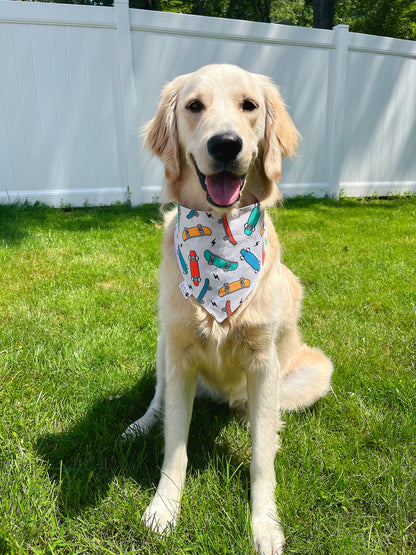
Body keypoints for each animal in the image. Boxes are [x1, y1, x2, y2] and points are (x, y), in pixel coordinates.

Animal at [122, 66, 332, 555]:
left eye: (249, 105)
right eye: (194, 106)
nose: (225, 145)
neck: (219, 238)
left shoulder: (263, 362)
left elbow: (261, 460)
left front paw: (265, 524)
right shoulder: (179, 355)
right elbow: (174, 448)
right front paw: (164, 508)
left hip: (312, 372)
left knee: (263, 419)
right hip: (163, 344)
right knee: (158, 402)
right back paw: (141, 424)